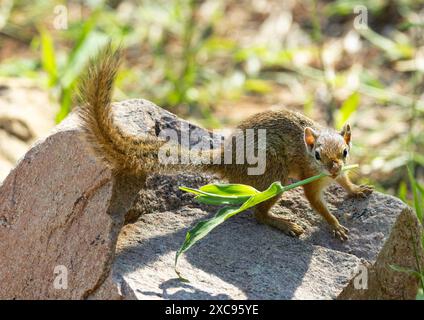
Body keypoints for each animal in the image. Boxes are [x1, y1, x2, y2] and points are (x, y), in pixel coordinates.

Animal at [78, 44, 372, 240]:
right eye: (318, 155)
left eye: (345, 152)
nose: (333, 168)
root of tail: (225, 159)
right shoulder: (311, 180)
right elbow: (317, 204)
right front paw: (335, 225)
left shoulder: (339, 172)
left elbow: (345, 182)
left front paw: (357, 189)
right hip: (272, 176)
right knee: (259, 215)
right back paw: (284, 223)